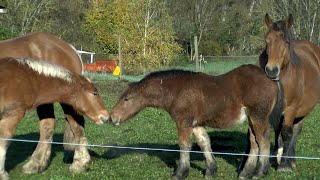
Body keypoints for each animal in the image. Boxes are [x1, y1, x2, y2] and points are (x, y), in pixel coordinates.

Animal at [109, 65, 282, 179]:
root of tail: (273, 80)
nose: (111, 117)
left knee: (263, 140)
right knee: (254, 142)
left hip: (258, 116)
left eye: (126, 99)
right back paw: (245, 173)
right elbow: (204, 143)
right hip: (252, 119)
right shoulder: (196, 124)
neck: (176, 91)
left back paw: (260, 172)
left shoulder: (183, 121)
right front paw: (211, 171)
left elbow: (184, 145)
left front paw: (180, 173)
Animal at [258, 13, 320, 172]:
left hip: (303, 109)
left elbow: (286, 133)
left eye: (286, 42)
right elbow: (276, 130)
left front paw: (283, 165)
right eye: (267, 41)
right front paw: (275, 155)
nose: (271, 70)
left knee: (295, 131)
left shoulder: (291, 109)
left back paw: (290, 161)